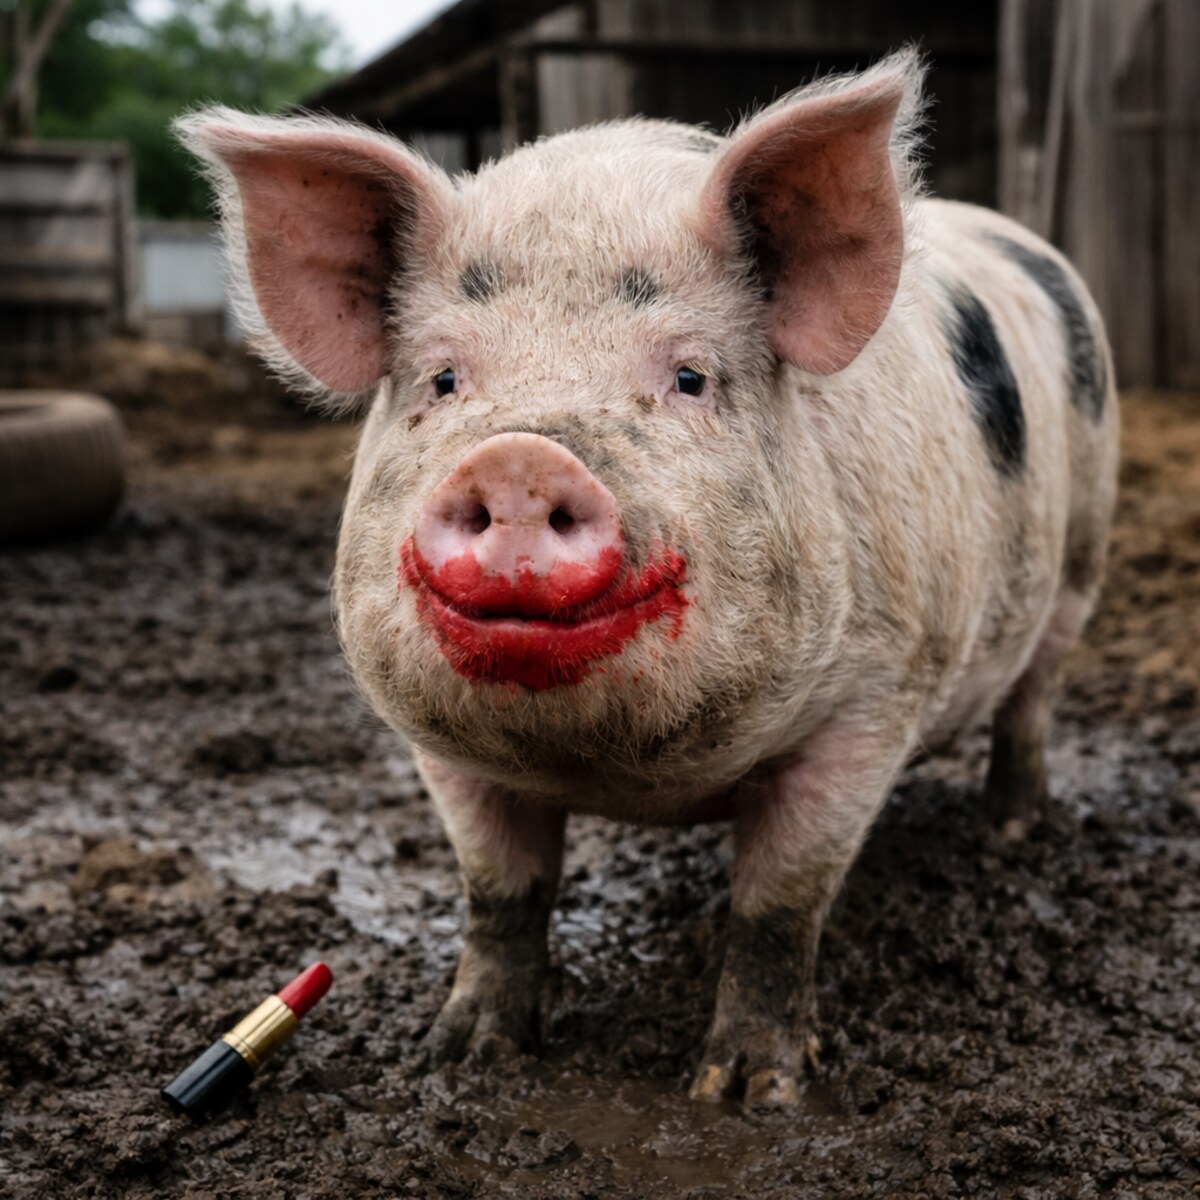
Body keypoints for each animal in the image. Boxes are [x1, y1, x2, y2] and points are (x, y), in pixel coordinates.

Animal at [176, 48, 1119, 1110]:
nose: (518, 460)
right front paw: (461, 1057)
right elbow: (500, 891)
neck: (628, 775)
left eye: (691, 378)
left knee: (1034, 698)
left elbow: (780, 906)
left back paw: (1011, 832)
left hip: (1083, 556)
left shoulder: (879, 696)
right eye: (444, 380)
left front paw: (745, 1095)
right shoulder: (440, 748)